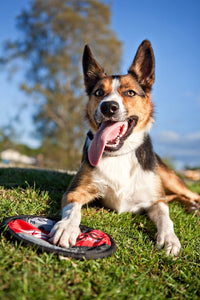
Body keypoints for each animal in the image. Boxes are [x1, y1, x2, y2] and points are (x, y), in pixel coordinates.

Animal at [48, 39, 200, 255]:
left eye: (130, 93)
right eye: (98, 93)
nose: (108, 107)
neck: (119, 155)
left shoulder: (156, 200)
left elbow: (166, 217)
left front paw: (170, 239)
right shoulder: (75, 191)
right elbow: (72, 210)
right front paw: (66, 227)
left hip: (170, 179)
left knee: (190, 194)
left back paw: (194, 205)